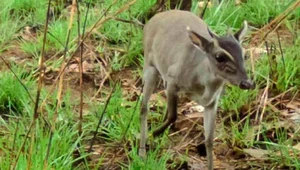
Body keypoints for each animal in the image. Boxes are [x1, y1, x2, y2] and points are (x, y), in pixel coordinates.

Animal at [139, 9, 254, 169]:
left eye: (244, 55)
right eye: (219, 57)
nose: (246, 83)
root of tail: (152, 19)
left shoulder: (212, 102)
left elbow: (209, 139)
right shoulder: (173, 81)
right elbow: (173, 115)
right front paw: (154, 133)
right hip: (150, 66)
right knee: (144, 107)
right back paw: (142, 152)